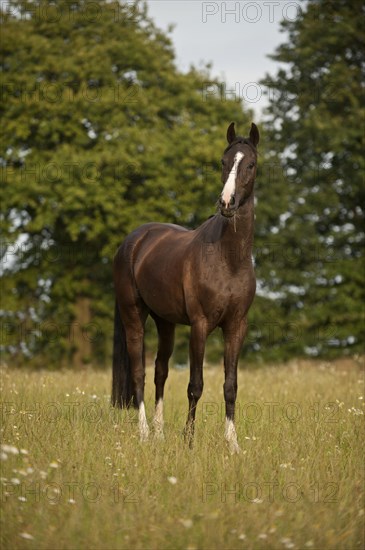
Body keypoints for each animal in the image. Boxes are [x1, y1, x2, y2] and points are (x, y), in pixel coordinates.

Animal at [112, 123, 258, 454]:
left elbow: (230, 386)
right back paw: (144, 433)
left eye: (251, 164)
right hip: (133, 317)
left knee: (159, 372)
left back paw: (158, 434)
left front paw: (232, 444)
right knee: (139, 373)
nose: (227, 203)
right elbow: (196, 385)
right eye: (223, 161)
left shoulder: (236, 327)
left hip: (165, 322)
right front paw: (189, 440)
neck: (228, 258)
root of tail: (134, 240)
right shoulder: (200, 325)